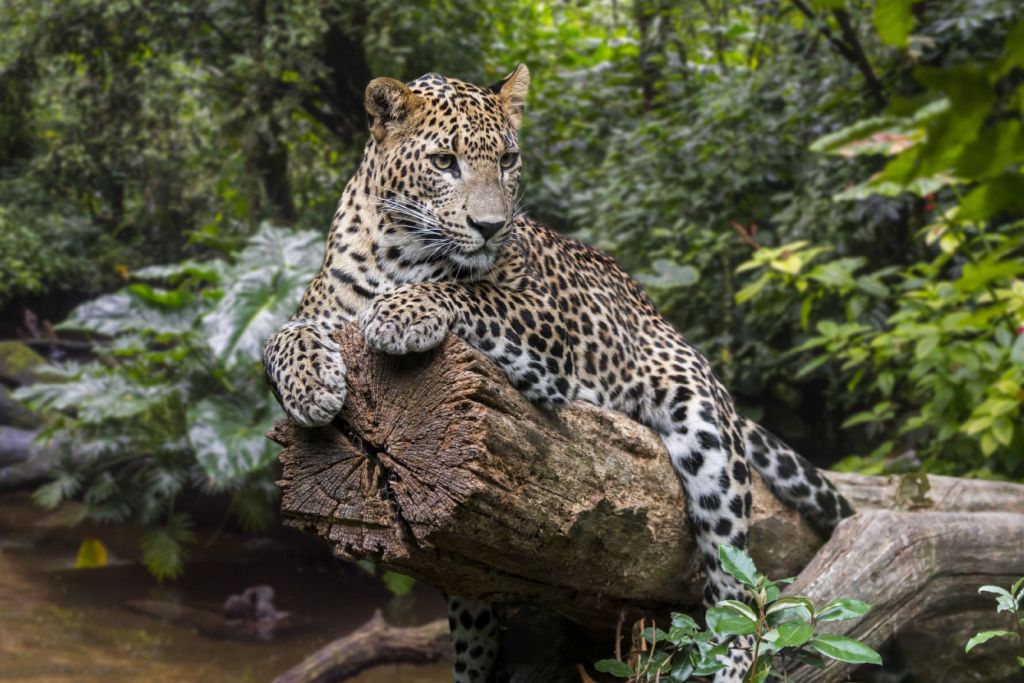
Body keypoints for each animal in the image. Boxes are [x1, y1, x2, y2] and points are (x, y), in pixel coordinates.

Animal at [264, 65, 856, 683]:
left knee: (736, 593)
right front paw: (311, 386)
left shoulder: (543, 322)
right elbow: (280, 337)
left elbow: (469, 292)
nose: (491, 226)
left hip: (706, 432)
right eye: (445, 161)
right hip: (468, 577)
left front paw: (402, 313)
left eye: (507, 159)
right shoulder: (319, 313)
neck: (399, 253)